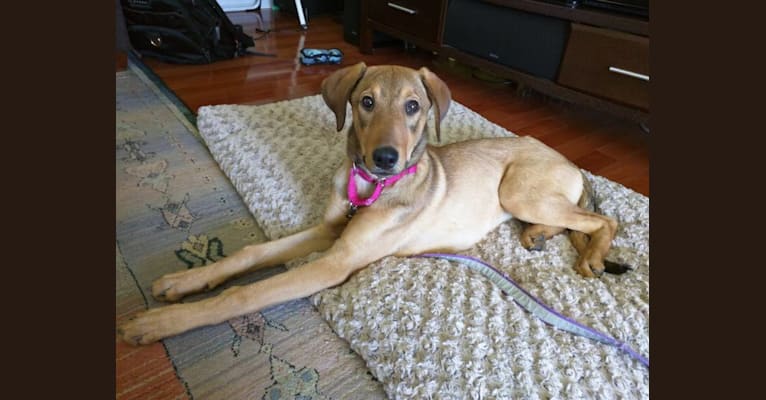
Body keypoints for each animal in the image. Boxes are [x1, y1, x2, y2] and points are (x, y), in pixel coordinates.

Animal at [120, 64, 632, 346]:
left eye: (413, 107)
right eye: (365, 102)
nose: (385, 158)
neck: (371, 187)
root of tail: (568, 160)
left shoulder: (336, 260)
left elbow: (245, 294)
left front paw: (163, 322)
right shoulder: (329, 232)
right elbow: (251, 255)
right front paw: (183, 281)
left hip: (519, 191)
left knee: (603, 219)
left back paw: (591, 258)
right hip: (530, 199)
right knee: (576, 221)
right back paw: (539, 235)